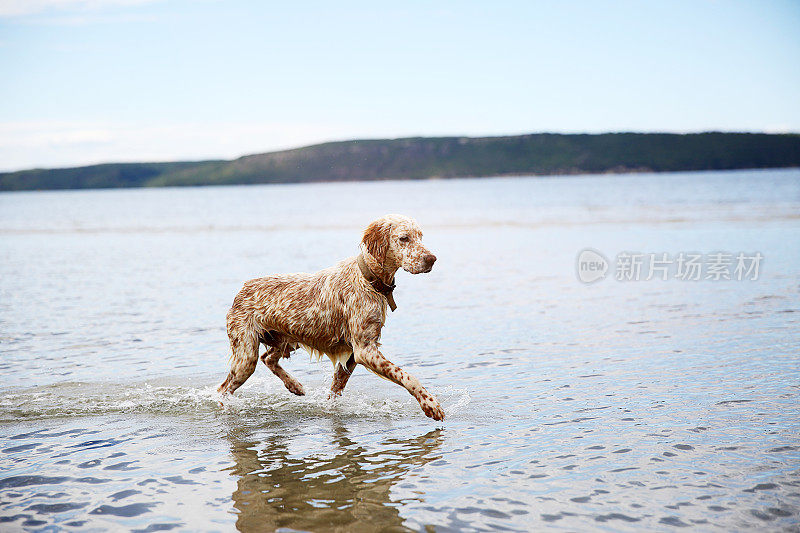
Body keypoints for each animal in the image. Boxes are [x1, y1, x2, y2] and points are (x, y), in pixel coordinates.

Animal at [216, 212, 446, 420]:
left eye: (420, 236)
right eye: (404, 238)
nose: (432, 259)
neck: (368, 280)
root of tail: (242, 290)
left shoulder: (352, 355)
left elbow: (335, 391)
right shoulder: (364, 350)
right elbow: (407, 375)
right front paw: (429, 403)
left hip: (285, 341)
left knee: (268, 358)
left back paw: (295, 385)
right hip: (246, 357)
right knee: (223, 389)